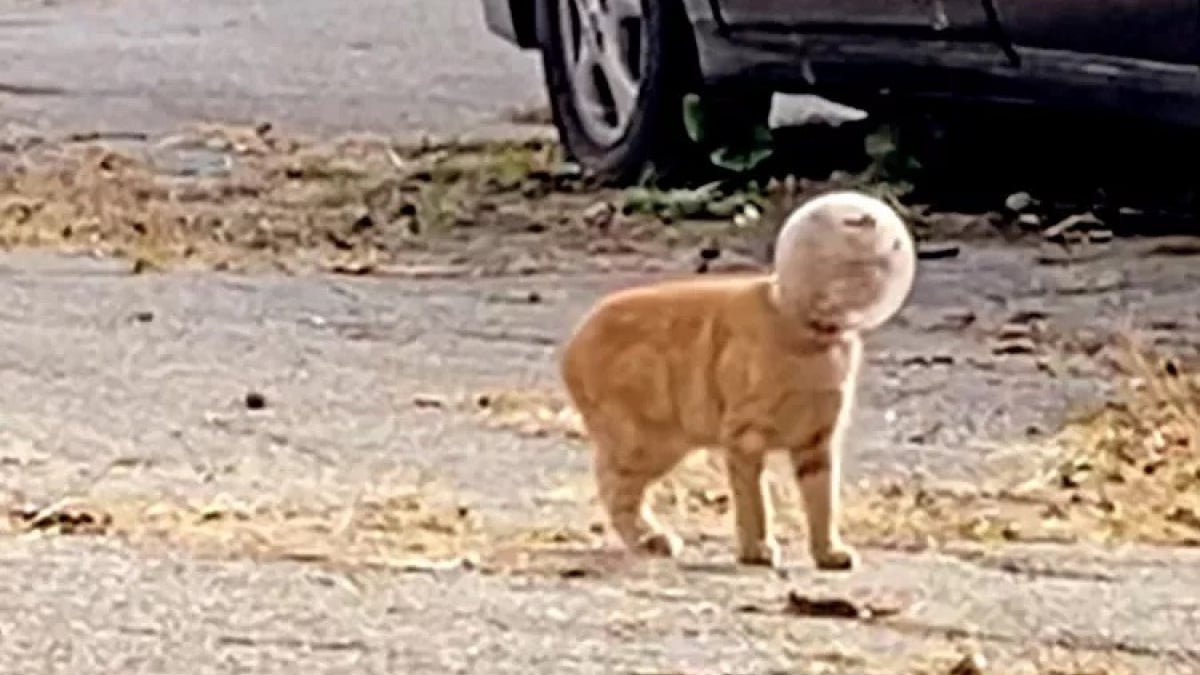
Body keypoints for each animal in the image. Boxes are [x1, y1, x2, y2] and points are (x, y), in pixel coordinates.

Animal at [556, 187, 912, 566]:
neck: (813, 343)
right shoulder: (744, 437)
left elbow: (822, 503)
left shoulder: (818, 443)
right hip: (646, 442)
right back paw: (650, 540)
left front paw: (828, 552)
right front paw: (756, 549)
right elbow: (755, 502)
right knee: (612, 486)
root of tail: (573, 341)